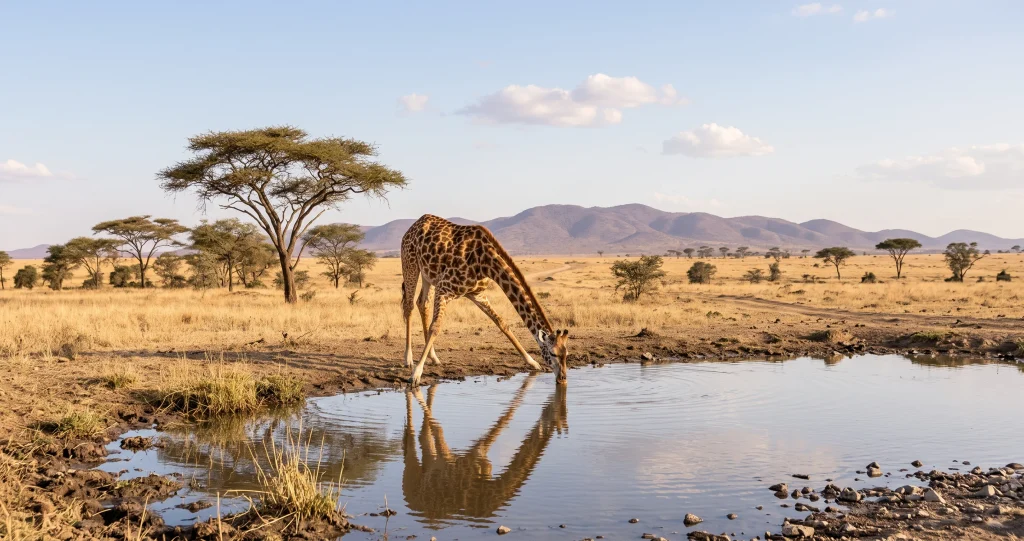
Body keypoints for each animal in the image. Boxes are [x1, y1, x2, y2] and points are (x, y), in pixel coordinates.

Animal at [401, 214, 570, 385]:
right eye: (553, 354)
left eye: (566, 354)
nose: (563, 379)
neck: (486, 264)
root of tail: (415, 225)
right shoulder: (444, 288)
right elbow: (435, 327)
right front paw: (416, 374)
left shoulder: (477, 295)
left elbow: (502, 323)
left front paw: (532, 362)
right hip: (410, 263)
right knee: (409, 305)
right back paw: (408, 359)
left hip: (428, 275)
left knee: (423, 304)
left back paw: (434, 357)